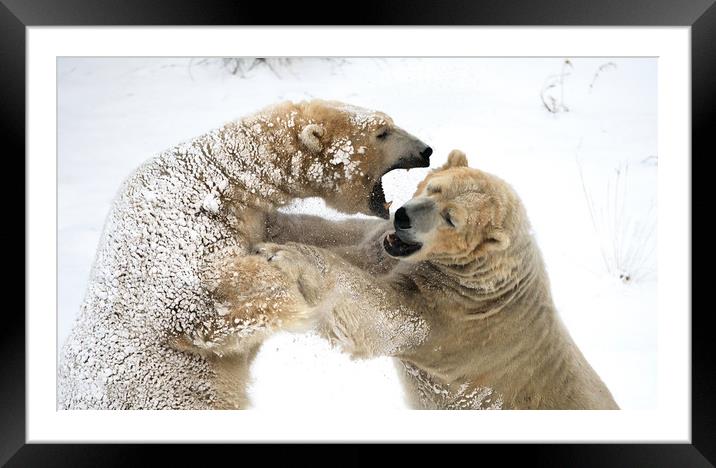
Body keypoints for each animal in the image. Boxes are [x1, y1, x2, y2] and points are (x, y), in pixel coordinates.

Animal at [56, 99, 430, 410]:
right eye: (382, 131)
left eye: (388, 121)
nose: (426, 150)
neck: (217, 179)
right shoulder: (179, 234)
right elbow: (196, 301)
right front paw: (293, 286)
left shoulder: (252, 218)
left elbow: (307, 230)